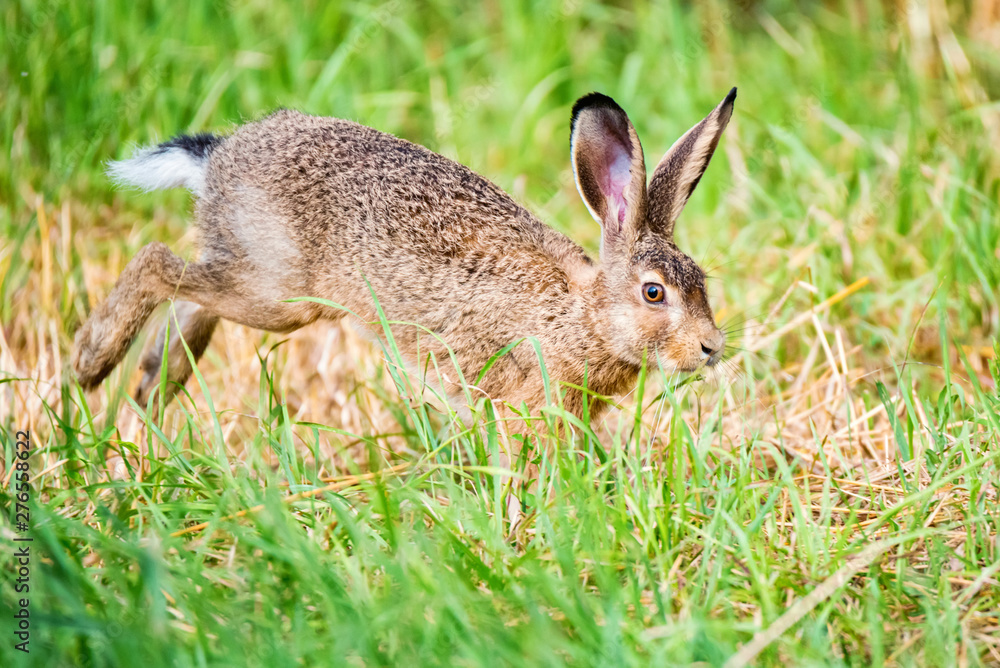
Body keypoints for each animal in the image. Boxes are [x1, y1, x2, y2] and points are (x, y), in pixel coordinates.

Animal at [73, 88, 736, 423]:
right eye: (654, 292)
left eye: (701, 282)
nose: (711, 348)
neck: (584, 315)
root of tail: (218, 157)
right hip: (276, 292)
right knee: (157, 263)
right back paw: (91, 362)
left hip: (251, 273)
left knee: (191, 294)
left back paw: (153, 385)